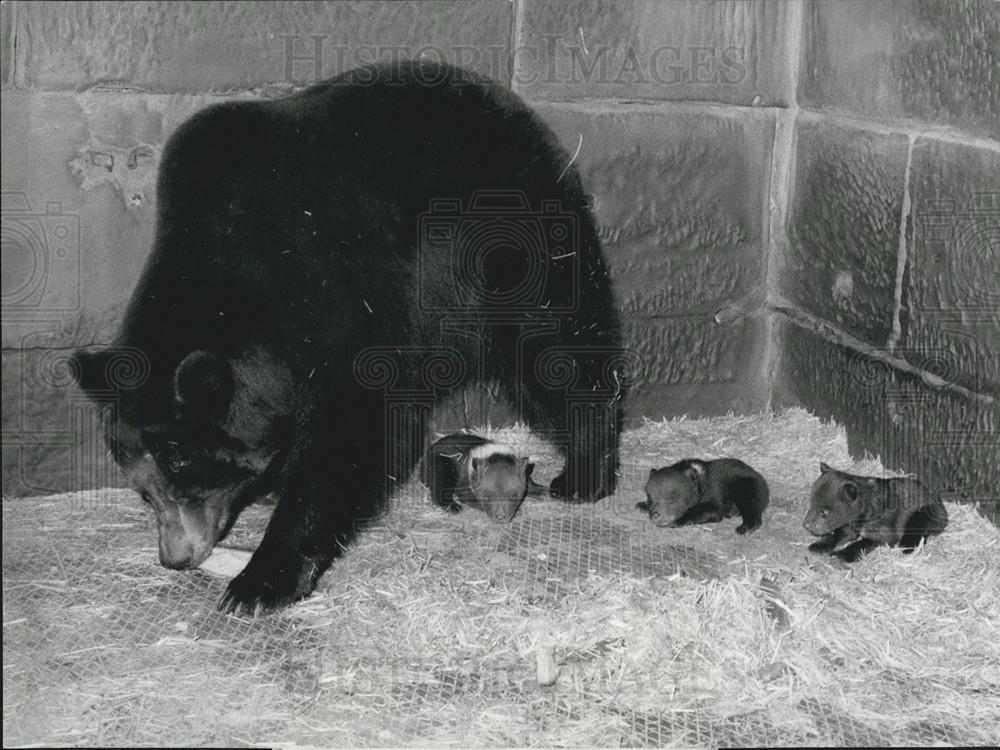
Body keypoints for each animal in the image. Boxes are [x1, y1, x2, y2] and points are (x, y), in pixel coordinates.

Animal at [70, 61, 624, 616]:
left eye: (182, 463)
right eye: (143, 488)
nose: (176, 556)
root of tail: (504, 99)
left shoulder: (341, 283)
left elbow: (353, 419)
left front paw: (262, 579)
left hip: (517, 238)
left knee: (555, 348)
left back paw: (584, 475)